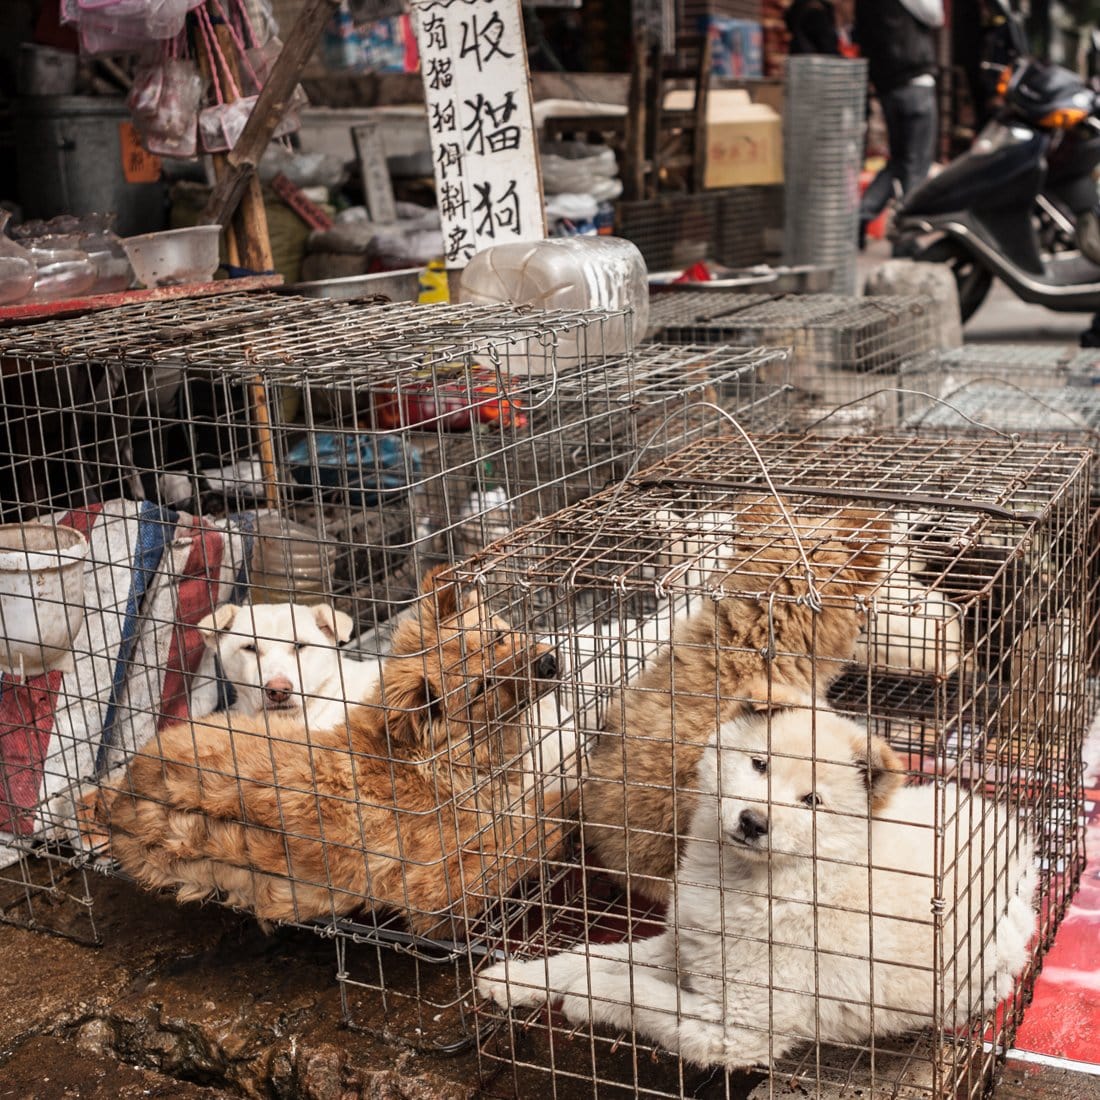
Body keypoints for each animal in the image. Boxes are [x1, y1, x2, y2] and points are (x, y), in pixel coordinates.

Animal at [477, 699, 1034, 1069]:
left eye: (812, 801)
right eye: (759, 763)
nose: (752, 821)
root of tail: (1017, 848)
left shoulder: (738, 1030)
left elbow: (636, 993)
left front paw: (585, 998)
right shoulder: (683, 947)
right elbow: (588, 955)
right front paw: (514, 980)